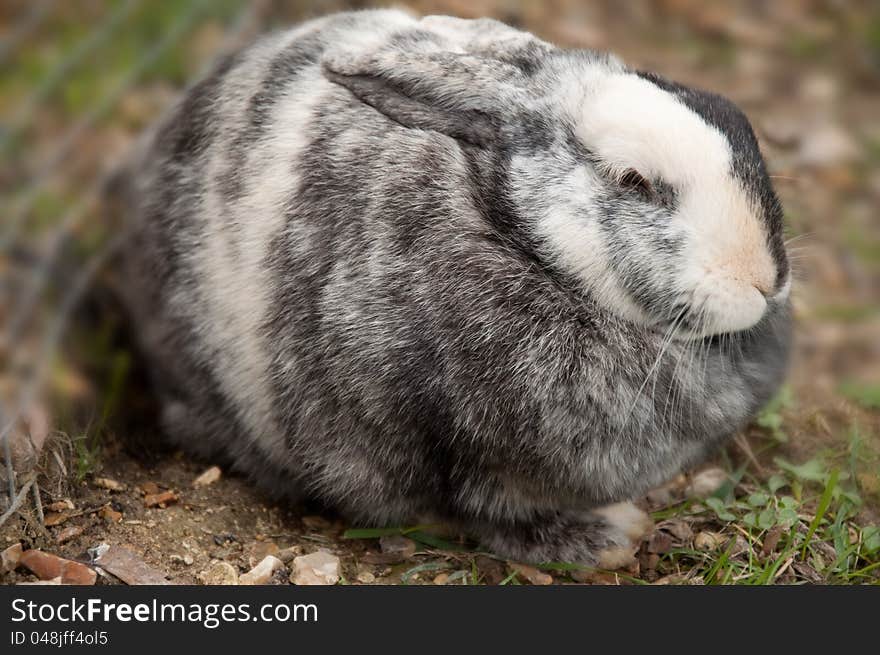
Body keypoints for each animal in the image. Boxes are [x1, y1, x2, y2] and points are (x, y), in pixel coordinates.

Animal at [113, 7, 796, 568]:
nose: (765, 280)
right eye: (634, 182)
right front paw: (605, 539)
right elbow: (488, 512)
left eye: (737, 120)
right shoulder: (447, 449)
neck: (517, 238)